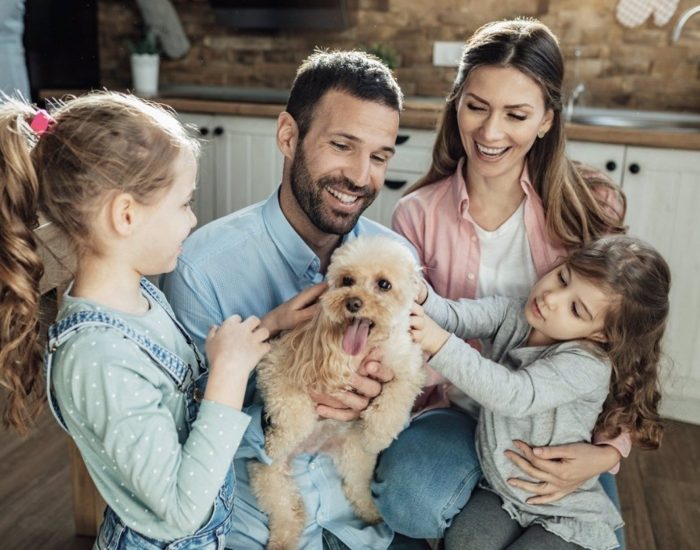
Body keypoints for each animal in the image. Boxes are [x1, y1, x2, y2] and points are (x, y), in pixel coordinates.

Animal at [249, 236, 424, 550]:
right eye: (347, 280)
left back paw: (372, 513)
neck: (363, 349)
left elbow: (395, 400)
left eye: (384, 284)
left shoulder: (407, 367)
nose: (353, 302)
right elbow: (293, 410)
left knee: (355, 490)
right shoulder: (275, 365)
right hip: (267, 476)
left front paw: (378, 432)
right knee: (287, 513)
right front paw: (276, 442)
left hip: (354, 458)